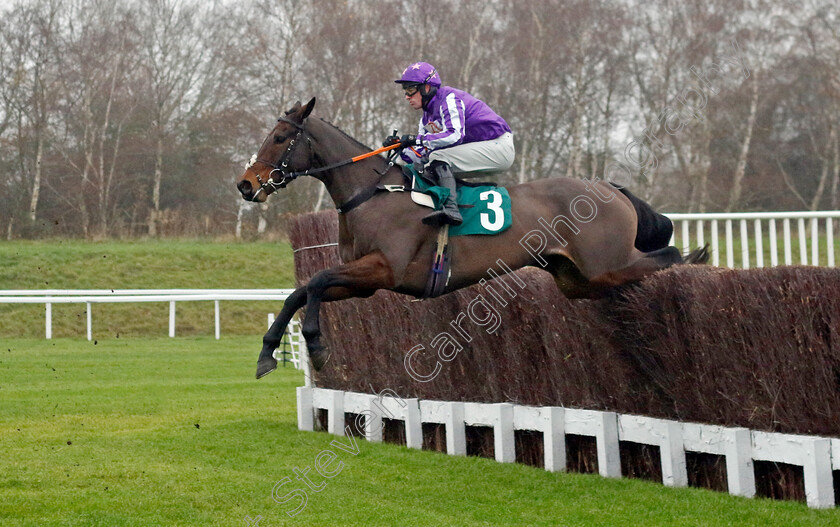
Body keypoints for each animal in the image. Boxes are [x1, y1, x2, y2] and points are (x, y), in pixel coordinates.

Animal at [236, 98, 708, 380]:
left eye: (280, 137)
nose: (245, 185)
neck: (372, 193)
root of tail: (610, 187)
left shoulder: (383, 269)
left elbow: (314, 283)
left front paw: (316, 346)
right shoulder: (364, 280)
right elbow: (301, 291)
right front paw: (267, 354)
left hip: (603, 263)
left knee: (666, 254)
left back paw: (697, 259)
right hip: (576, 279)